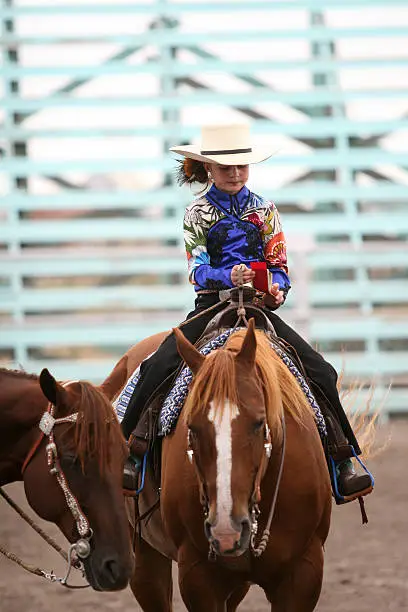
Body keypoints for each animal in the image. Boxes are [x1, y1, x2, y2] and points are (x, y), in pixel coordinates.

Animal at [111, 322, 332, 608]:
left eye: (259, 423)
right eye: (192, 427)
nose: (227, 529)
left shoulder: (304, 570)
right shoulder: (198, 575)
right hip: (143, 557)